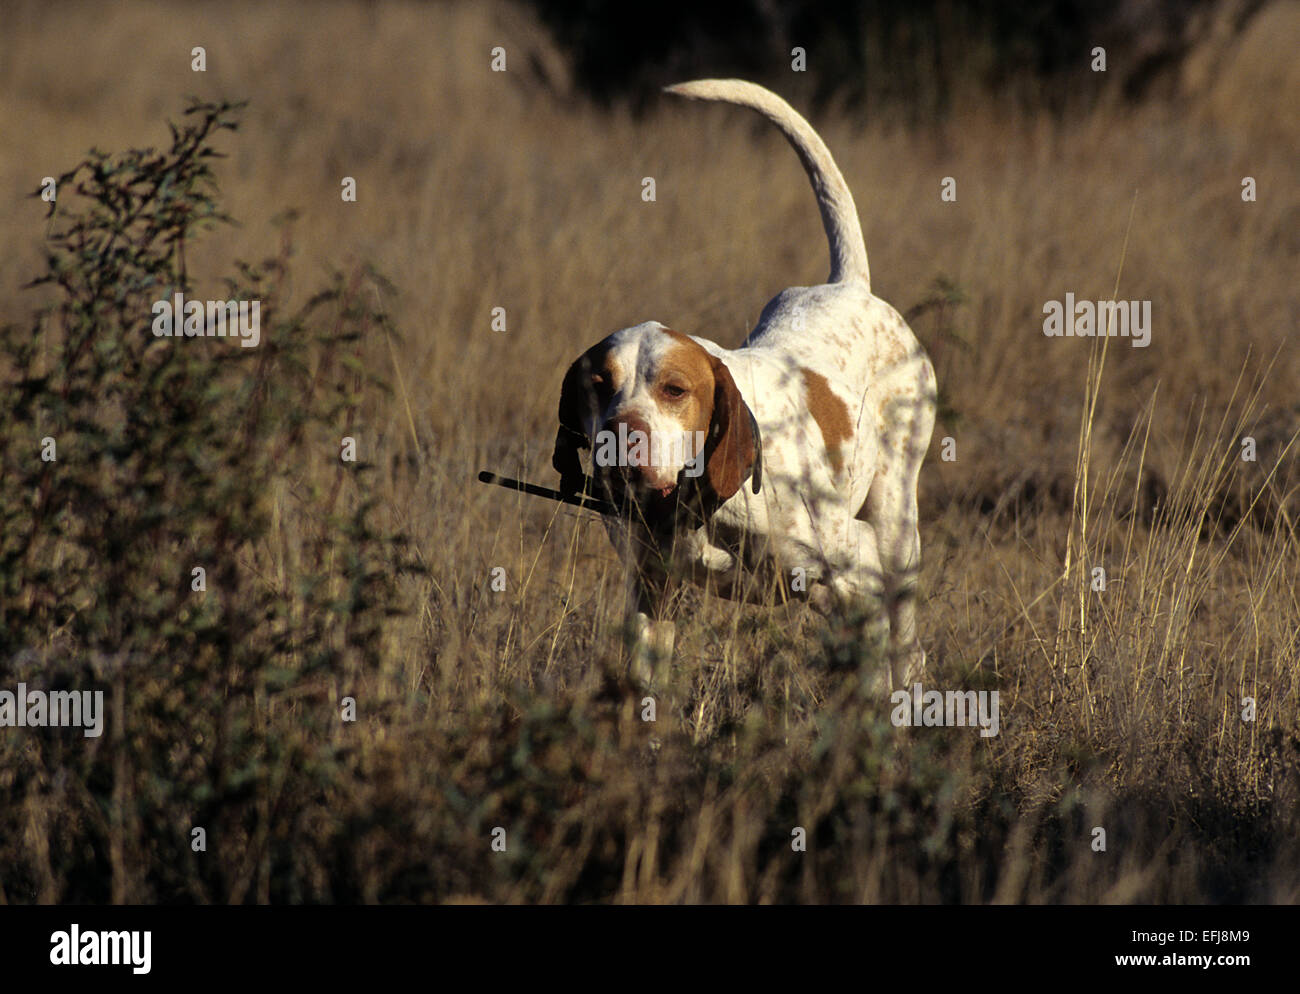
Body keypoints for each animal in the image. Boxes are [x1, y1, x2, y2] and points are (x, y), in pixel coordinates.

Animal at [548, 79, 935, 691]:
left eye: (674, 390)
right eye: (597, 385)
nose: (620, 438)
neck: (698, 503)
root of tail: (847, 285)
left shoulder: (862, 573)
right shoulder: (651, 592)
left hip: (896, 522)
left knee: (908, 648)